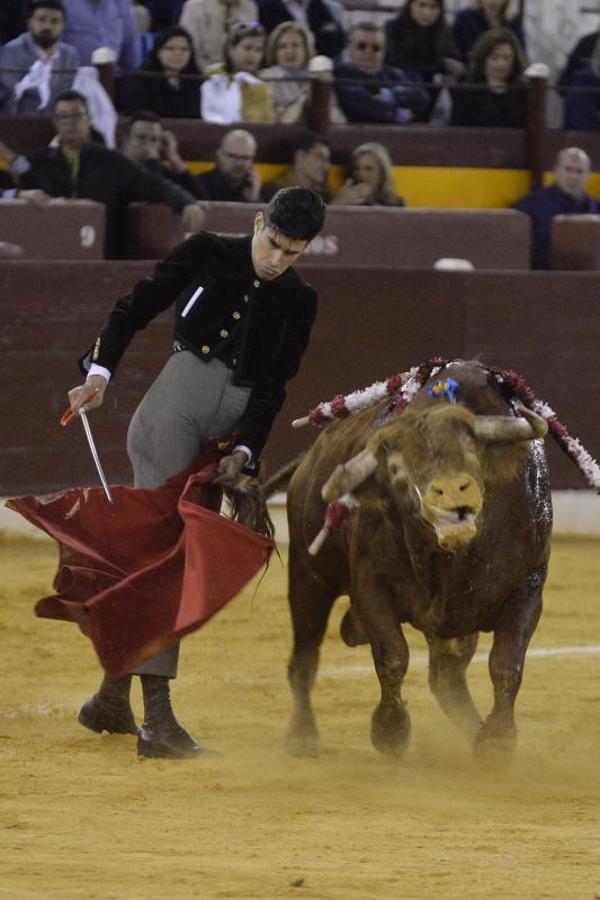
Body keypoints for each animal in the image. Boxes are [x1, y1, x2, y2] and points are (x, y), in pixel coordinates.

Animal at [274, 358, 552, 760]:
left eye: (473, 452)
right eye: (397, 471)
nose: (451, 494)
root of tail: (308, 462)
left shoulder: (528, 585)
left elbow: (506, 665)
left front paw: (496, 742)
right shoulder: (370, 585)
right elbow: (393, 655)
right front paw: (390, 732)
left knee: (446, 678)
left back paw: (474, 730)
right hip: (309, 578)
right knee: (305, 656)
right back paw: (302, 735)